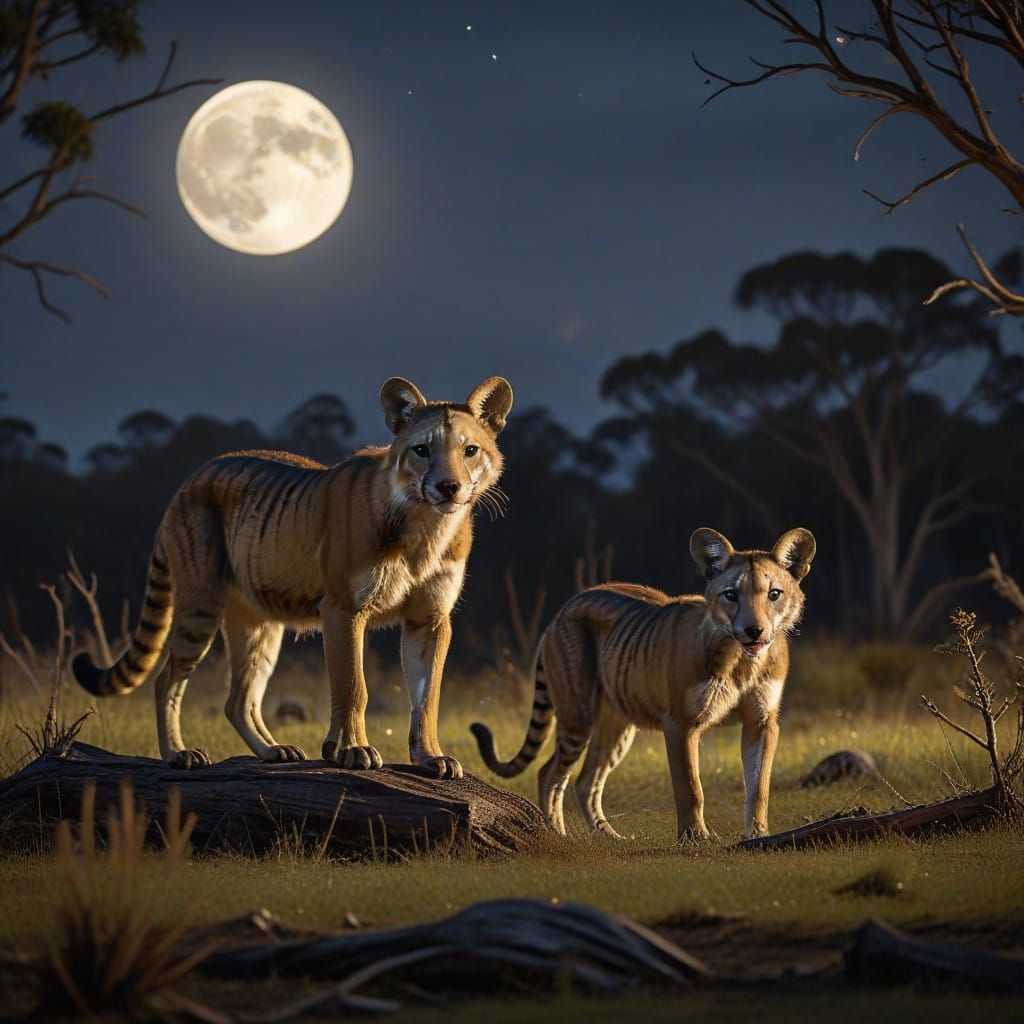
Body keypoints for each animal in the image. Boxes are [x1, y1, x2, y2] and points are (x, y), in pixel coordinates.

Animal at [73, 375, 513, 779]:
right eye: (422, 450)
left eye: (469, 450)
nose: (449, 487)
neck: (426, 524)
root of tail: (190, 479)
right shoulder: (344, 609)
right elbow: (352, 686)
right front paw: (352, 750)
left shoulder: (430, 618)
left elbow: (427, 694)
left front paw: (429, 757)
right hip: (200, 608)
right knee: (166, 680)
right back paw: (178, 755)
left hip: (259, 625)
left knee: (239, 700)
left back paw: (274, 752)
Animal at [471, 527, 816, 841]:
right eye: (731, 594)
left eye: (774, 593)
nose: (754, 630)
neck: (742, 660)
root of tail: (563, 610)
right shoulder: (680, 723)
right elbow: (690, 787)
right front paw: (696, 838)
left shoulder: (762, 722)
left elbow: (759, 787)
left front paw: (759, 835)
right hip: (577, 717)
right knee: (550, 773)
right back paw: (557, 835)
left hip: (616, 727)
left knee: (586, 781)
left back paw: (610, 837)